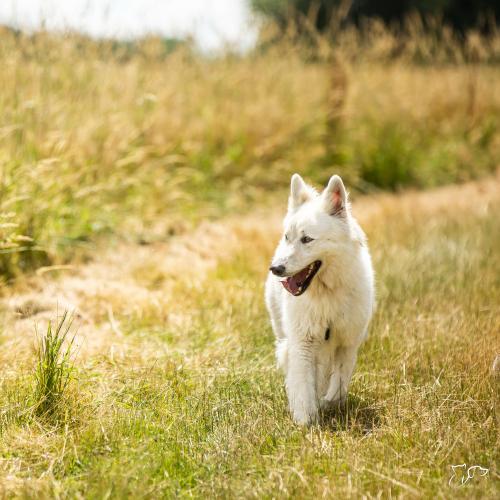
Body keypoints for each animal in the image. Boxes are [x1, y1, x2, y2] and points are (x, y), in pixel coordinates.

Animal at [266, 174, 376, 424]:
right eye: (288, 237)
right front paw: (305, 421)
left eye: (307, 239)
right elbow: (303, 386)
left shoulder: (347, 343)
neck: (327, 292)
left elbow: (338, 384)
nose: (276, 269)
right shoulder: (303, 342)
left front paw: (328, 405)